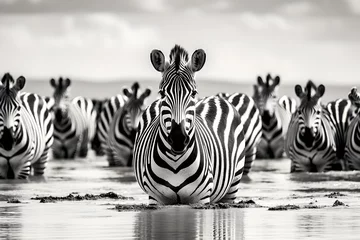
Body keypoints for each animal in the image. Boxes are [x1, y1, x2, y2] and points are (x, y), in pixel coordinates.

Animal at [134, 45, 246, 204]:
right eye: (162, 93)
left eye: (193, 93)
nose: (178, 139)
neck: (175, 162)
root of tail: (215, 97)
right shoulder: (155, 198)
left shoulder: (201, 198)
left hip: (233, 185)